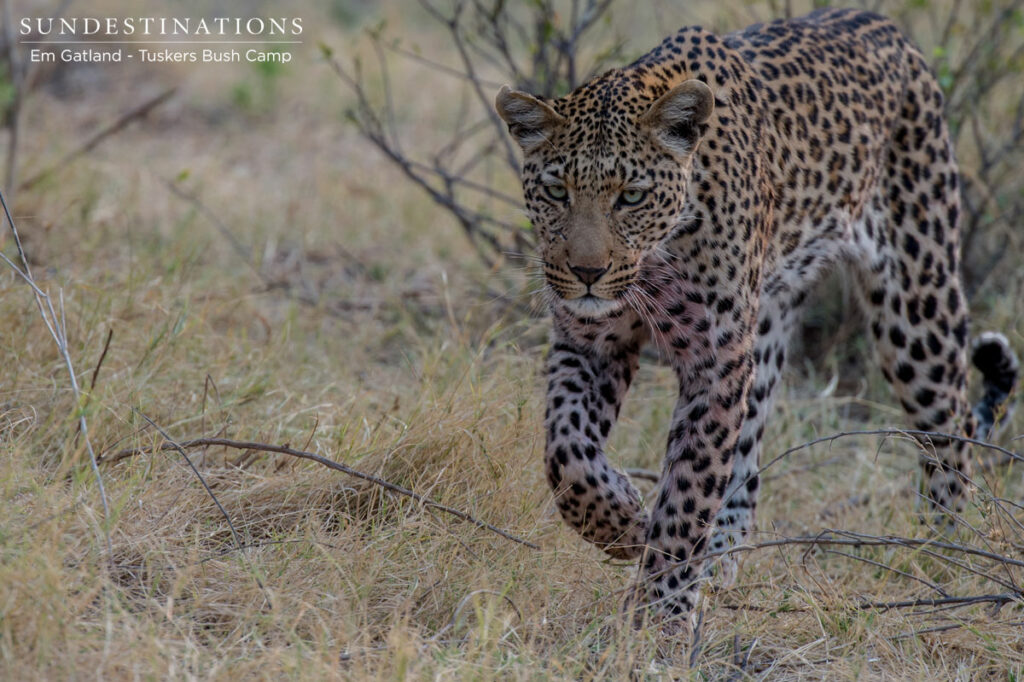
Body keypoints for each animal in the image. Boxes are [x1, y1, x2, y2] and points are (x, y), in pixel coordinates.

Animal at [495, 8, 1019, 628]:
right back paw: (719, 568)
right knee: (745, 461)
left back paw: (943, 554)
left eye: (632, 196)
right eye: (556, 191)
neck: (659, 258)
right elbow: (567, 456)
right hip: (766, 334)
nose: (587, 272)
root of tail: (887, 26)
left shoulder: (716, 361)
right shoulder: (591, 342)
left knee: (952, 427)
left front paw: (662, 615)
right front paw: (625, 522)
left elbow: (689, 490)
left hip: (916, 305)